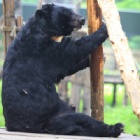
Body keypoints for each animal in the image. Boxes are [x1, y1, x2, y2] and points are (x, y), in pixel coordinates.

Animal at [1, 3, 123, 137]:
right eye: (68, 13)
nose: (82, 19)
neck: (44, 29)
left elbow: (66, 69)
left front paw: (97, 59)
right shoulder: (42, 49)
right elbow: (71, 52)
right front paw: (104, 26)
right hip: (54, 115)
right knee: (84, 120)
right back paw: (116, 127)